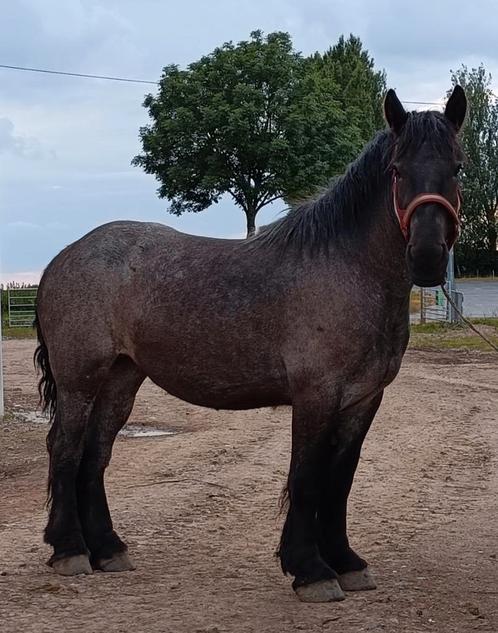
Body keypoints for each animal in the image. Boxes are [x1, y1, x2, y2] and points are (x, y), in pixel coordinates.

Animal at [35, 86, 466, 600]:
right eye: (397, 170)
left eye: (457, 167)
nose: (427, 256)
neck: (348, 269)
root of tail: (63, 258)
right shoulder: (316, 396)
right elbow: (306, 478)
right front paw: (311, 570)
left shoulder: (364, 399)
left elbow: (340, 481)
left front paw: (346, 562)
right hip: (79, 379)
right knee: (65, 449)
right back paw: (69, 550)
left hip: (122, 378)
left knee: (96, 454)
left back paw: (107, 549)